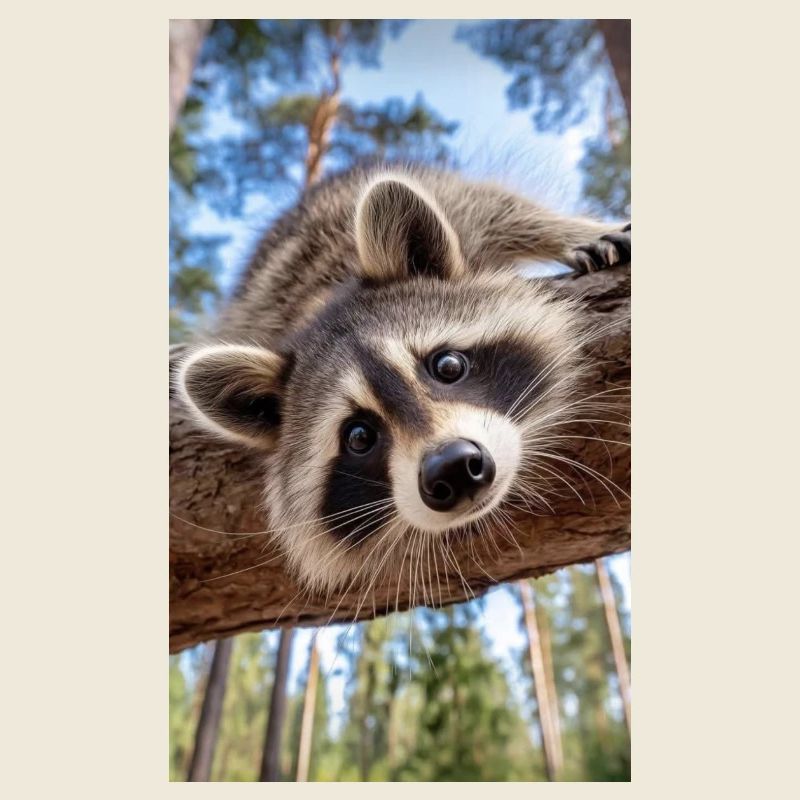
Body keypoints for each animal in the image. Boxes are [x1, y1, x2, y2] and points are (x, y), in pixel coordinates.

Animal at [176, 164, 630, 596]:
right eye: (359, 436)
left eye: (447, 366)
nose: (452, 468)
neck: (320, 303)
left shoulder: (463, 211)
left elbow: (502, 207)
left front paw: (572, 232)